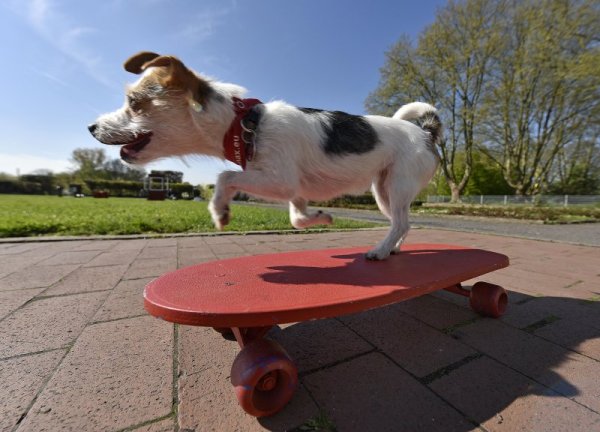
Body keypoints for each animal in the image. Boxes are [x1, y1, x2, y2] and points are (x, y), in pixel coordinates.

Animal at [90, 50, 446, 260]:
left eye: (134, 103)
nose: (91, 127)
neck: (246, 125)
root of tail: (426, 133)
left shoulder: (280, 180)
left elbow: (225, 176)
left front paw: (220, 210)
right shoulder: (293, 189)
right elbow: (296, 217)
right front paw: (320, 218)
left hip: (397, 186)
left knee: (401, 222)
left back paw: (380, 251)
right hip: (382, 191)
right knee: (403, 224)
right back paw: (391, 249)